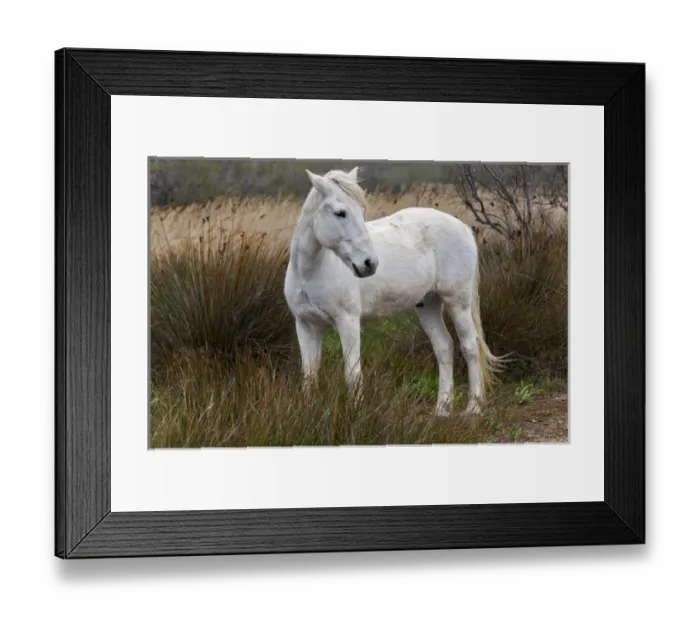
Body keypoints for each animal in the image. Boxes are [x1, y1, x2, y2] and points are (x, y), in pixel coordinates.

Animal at [283, 167, 504, 416]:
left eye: (360, 211)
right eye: (340, 213)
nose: (369, 263)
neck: (309, 273)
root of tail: (464, 228)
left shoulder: (347, 321)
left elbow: (352, 373)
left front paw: (356, 414)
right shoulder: (306, 325)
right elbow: (309, 374)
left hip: (458, 302)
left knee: (470, 347)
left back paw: (473, 407)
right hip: (428, 304)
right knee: (444, 347)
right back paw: (441, 409)